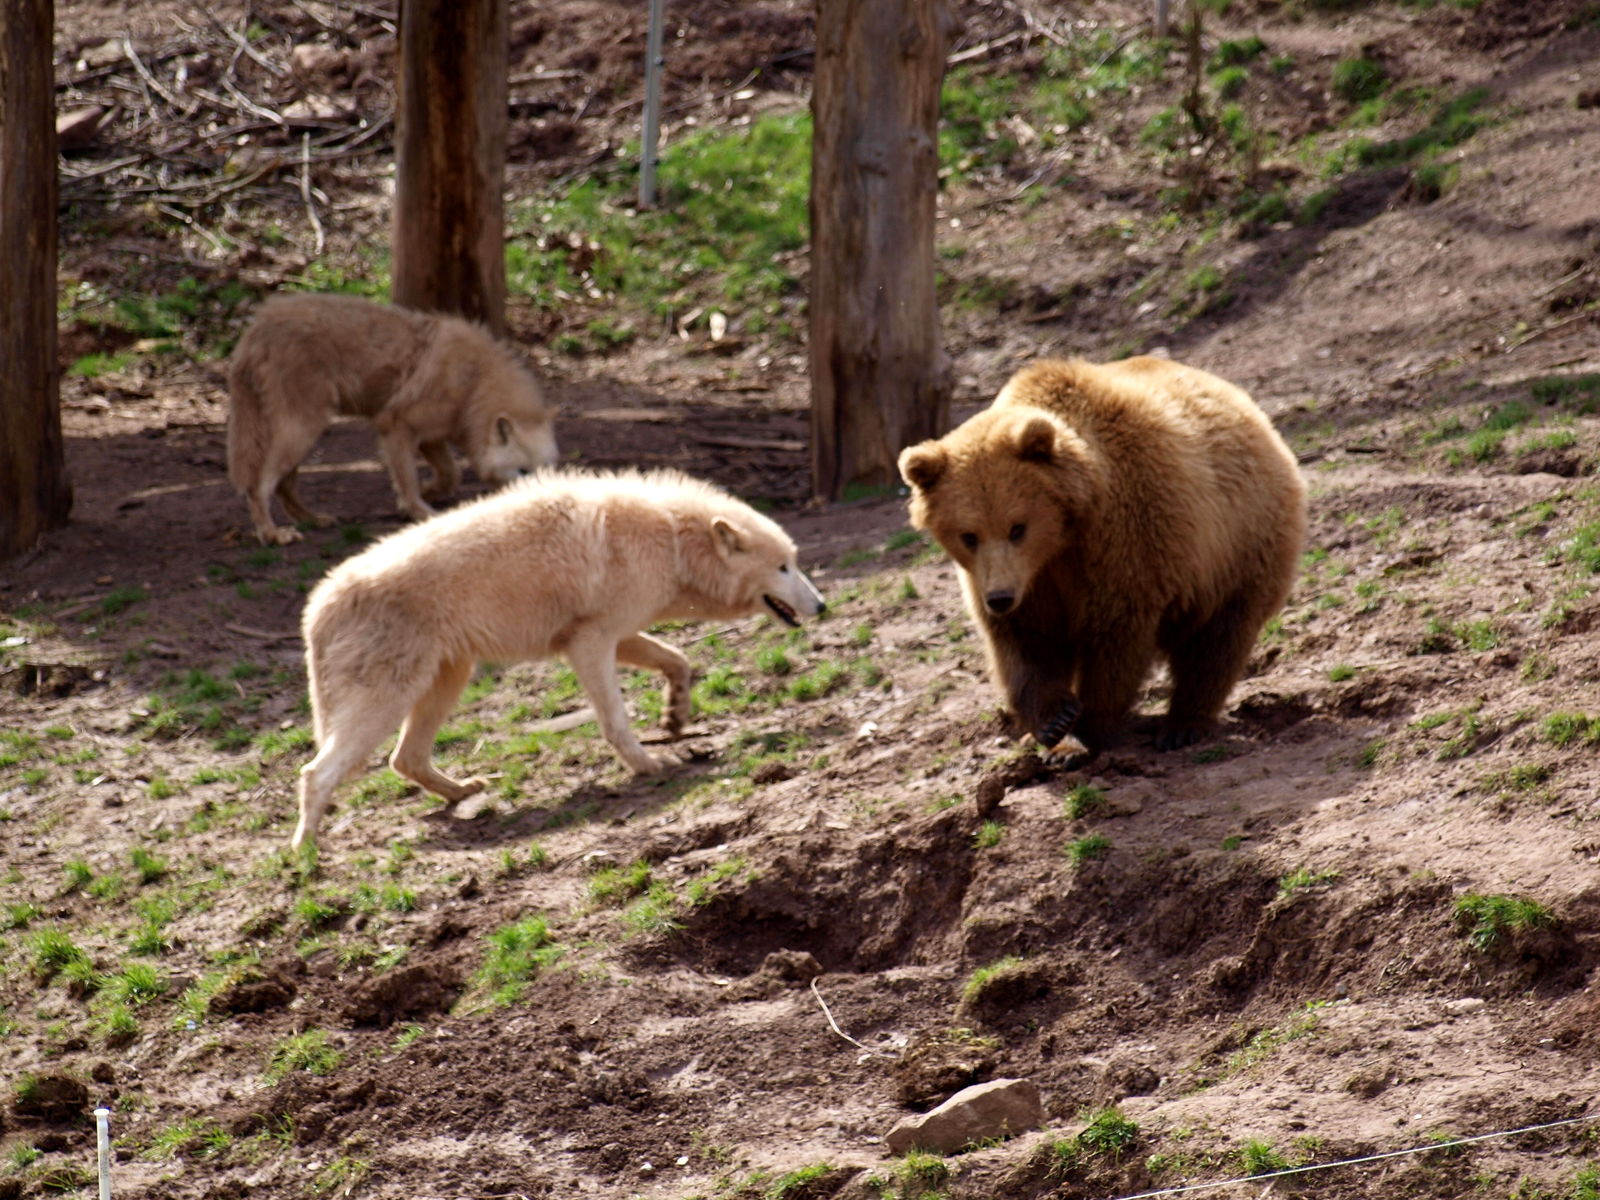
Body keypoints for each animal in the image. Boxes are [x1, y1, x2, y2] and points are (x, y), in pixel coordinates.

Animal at [226, 293, 559, 545]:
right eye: (523, 471)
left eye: (546, 471)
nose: (544, 503)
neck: (475, 384)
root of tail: (256, 328)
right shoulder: (395, 425)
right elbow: (408, 478)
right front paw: (420, 512)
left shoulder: (432, 435)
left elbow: (451, 475)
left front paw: (428, 494)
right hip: (303, 430)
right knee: (259, 485)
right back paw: (272, 534)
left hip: (303, 435)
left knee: (284, 485)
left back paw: (313, 520)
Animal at [290, 468, 826, 850]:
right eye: (783, 567)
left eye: (796, 562)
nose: (822, 605)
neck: (672, 539)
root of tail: (317, 604)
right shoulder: (591, 643)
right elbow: (615, 721)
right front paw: (649, 764)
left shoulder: (615, 635)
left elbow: (678, 661)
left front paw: (675, 716)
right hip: (389, 702)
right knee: (317, 772)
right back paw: (307, 852)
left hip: (447, 682)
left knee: (405, 759)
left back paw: (463, 793)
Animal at [897, 356, 1306, 757]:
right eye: (969, 535)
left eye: (1017, 527)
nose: (1000, 598)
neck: (1061, 536)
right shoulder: (1024, 582)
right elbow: (1024, 644)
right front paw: (1055, 723)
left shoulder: (1124, 542)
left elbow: (1115, 638)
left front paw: (1088, 729)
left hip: (1239, 543)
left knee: (1217, 637)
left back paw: (1183, 725)